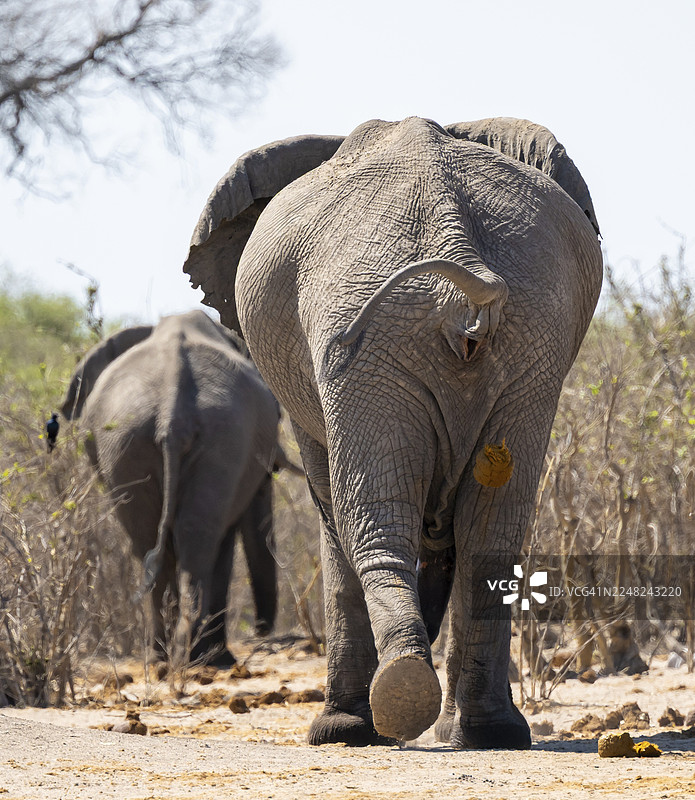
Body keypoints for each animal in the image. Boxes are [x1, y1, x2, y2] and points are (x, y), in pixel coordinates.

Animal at [61, 310, 283, 667]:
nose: (262, 632)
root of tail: (171, 412)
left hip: (137, 442)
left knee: (158, 540)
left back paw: (169, 657)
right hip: (187, 438)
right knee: (192, 539)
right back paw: (199, 658)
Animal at [183, 116, 603, 745]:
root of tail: (457, 251)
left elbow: (331, 510)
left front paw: (340, 731)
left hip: (367, 338)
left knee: (369, 521)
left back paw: (385, 712)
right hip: (526, 339)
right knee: (490, 532)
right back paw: (482, 730)